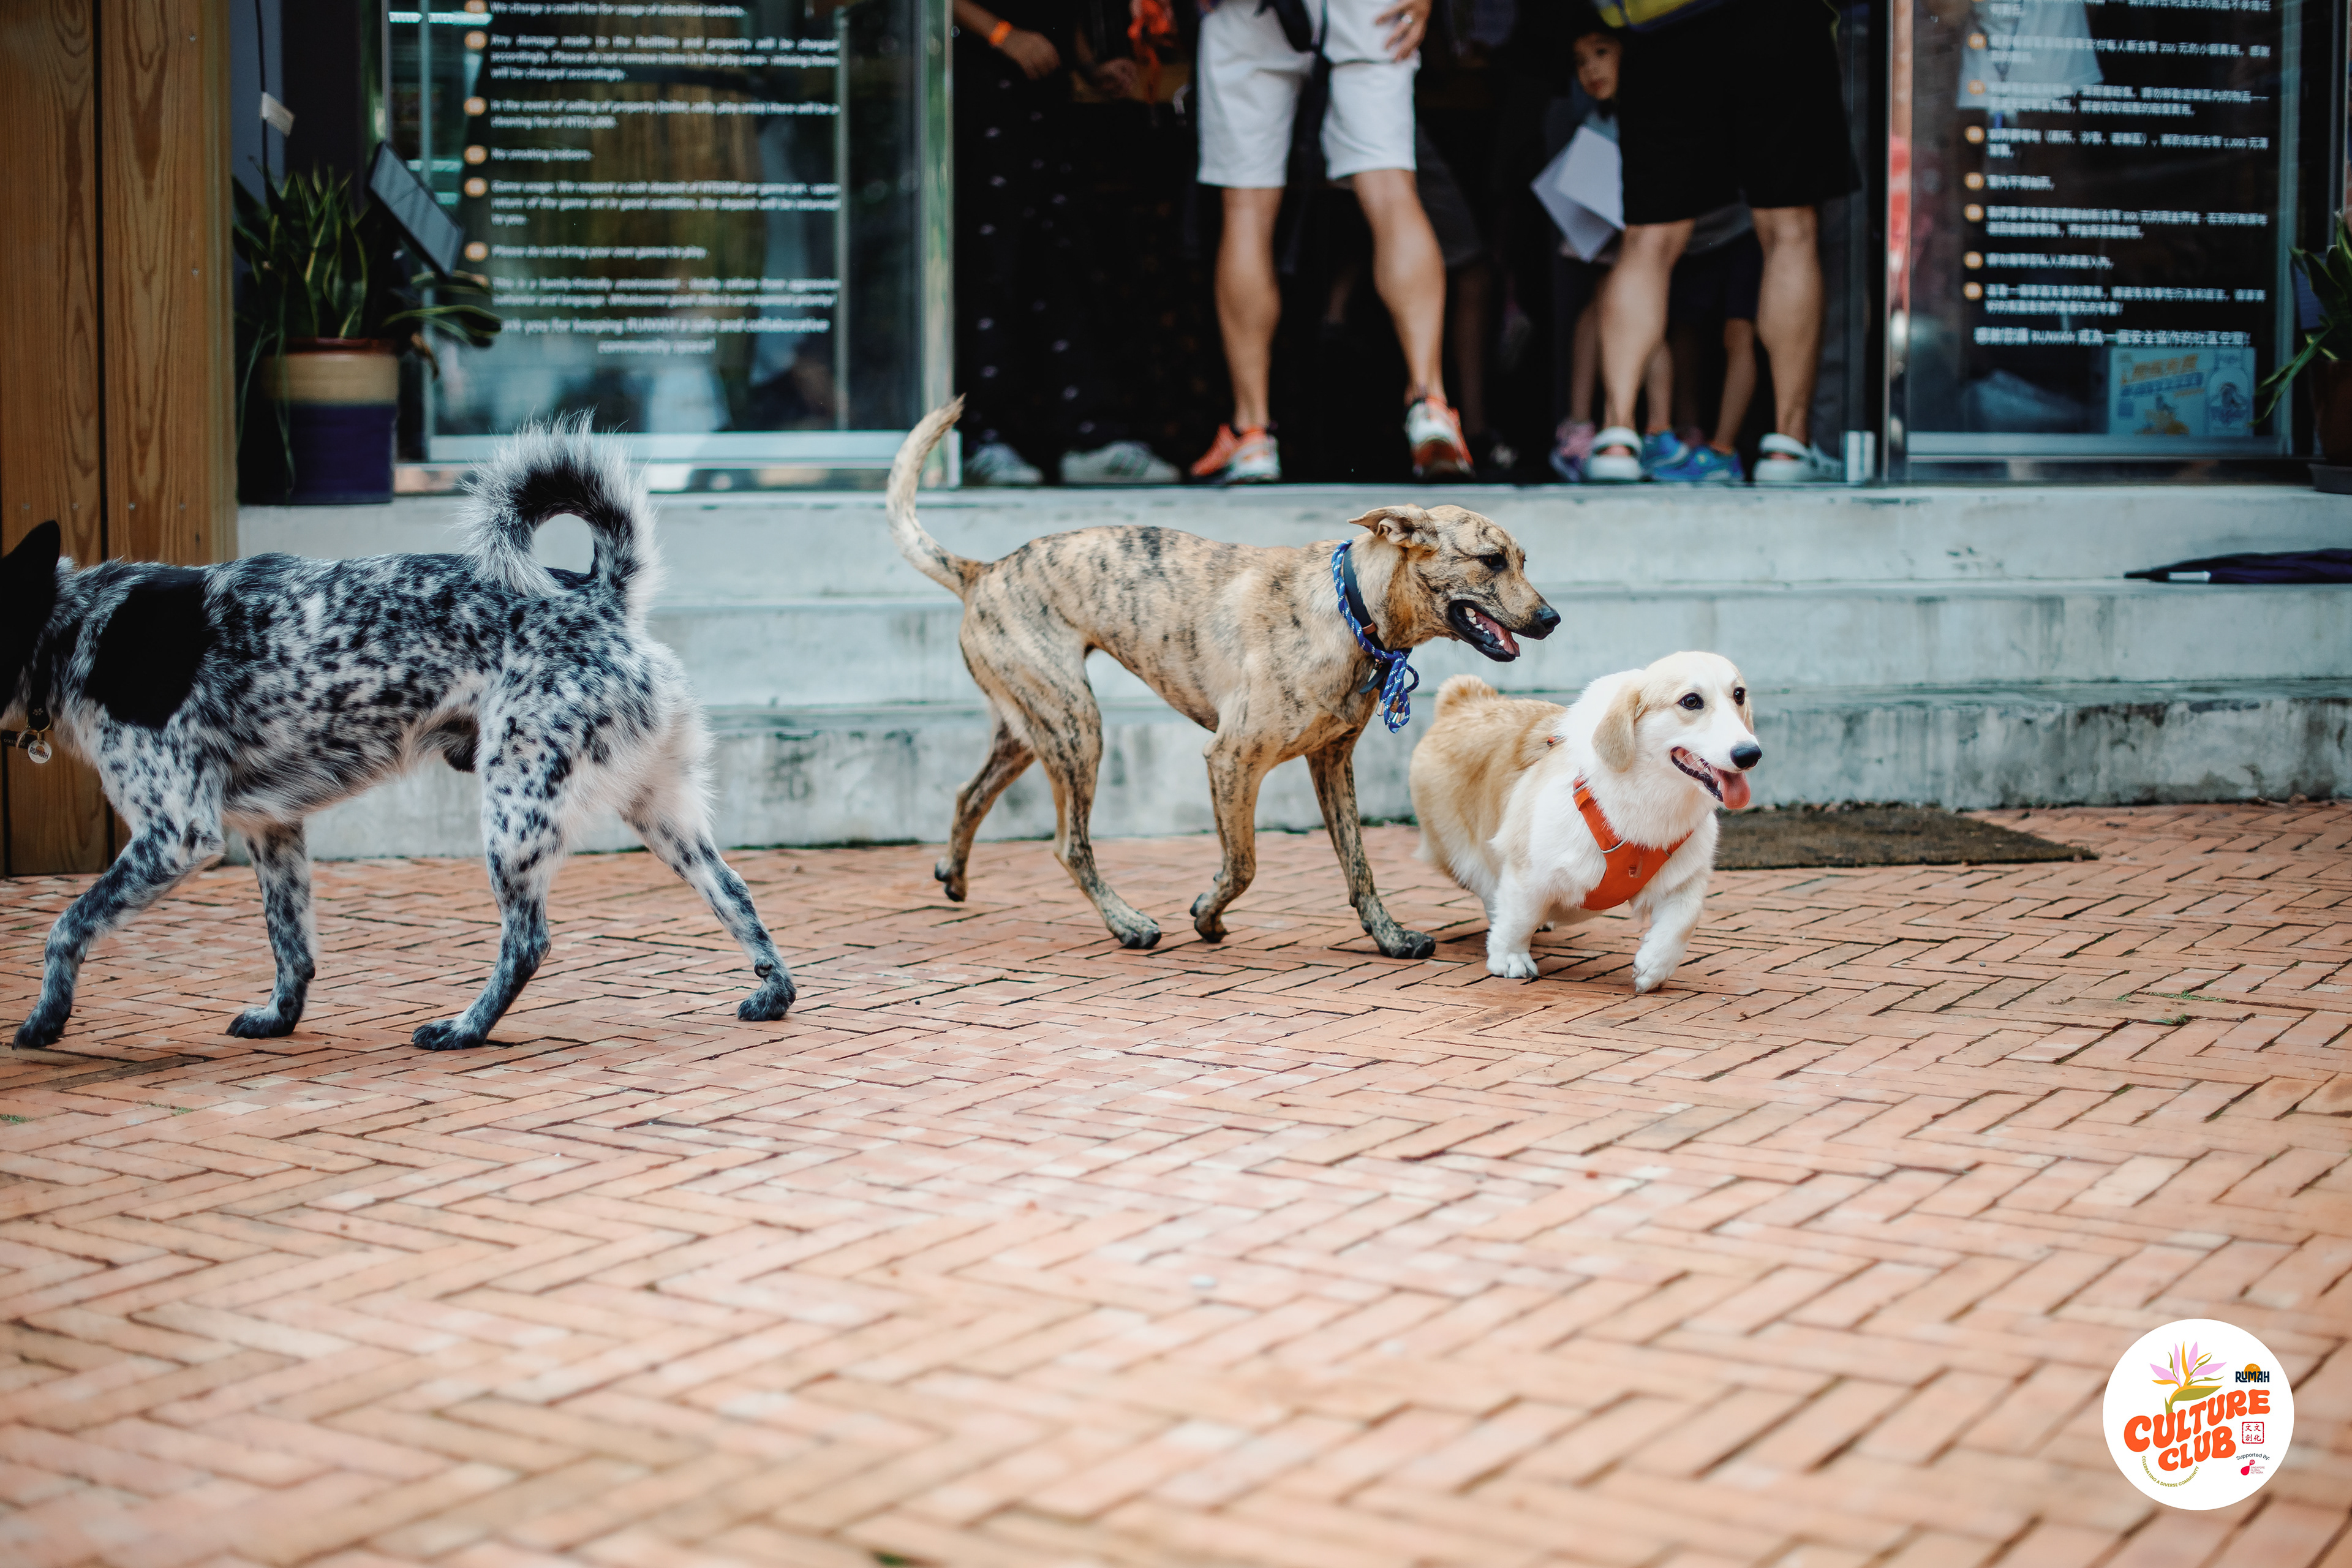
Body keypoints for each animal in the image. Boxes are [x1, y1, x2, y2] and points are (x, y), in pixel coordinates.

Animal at [0, 421, 795, 1050]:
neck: (74, 626)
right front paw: (280, 1019)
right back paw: (773, 992)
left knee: (528, 941)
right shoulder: (271, 828)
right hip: (662, 813)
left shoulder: (176, 833)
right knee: (737, 893)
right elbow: (292, 946)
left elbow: (66, 924)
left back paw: (465, 1028)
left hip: (516, 814)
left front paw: (46, 1020)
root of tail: (600, 598)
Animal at [886, 400, 1560, 957]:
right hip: (1076, 728)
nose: (1551, 619)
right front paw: (1207, 914)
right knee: (1069, 844)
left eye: (1524, 561)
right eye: (1491, 561)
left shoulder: (1331, 764)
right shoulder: (1232, 760)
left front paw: (1389, 937)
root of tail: (982, 571)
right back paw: (1128, 923)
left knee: (969, 794)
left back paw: (955, 876)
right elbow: (1243, 864)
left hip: (1031, 729)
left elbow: (1359, 866)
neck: (1350, 608)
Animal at [1410, 652, 1760, 991]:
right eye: (1691, 701)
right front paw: (1509, 959)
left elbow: (1682, 923)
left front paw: (1653, 969)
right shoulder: (1528, 873)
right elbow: (1517, 918)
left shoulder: (1686, 881)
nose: (1750, 754)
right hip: (1460, 852)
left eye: (1739, 695)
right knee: (1489, 888)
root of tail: (1462, 703)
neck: (1649, 799)